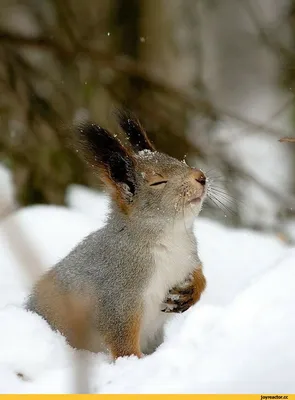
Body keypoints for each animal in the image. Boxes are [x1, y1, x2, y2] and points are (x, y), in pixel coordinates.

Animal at [26, 111, 208, 360]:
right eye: (158, 182)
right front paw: (133, 363)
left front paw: (191, 290)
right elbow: (122, 339)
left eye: (180, 161)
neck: (171, 237)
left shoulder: (188, 257)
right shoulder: (118, 295)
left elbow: (199, 274)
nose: (201, 176)